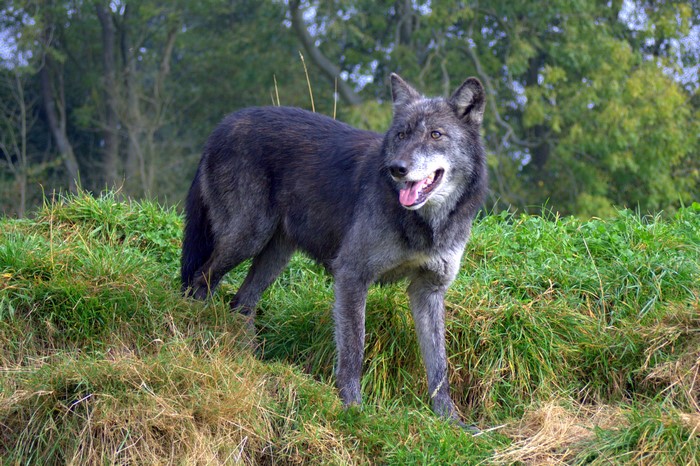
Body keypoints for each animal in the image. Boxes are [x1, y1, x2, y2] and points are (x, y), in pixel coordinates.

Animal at [181, 73, 488, 423]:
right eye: (401, 135)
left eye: (436, 134)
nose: (397, 168)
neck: (425, 224)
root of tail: (222, 125)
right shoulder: (352, 274)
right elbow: (354, 348)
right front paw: (352, 408)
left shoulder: (429, 290)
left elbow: (439, 365)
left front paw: (449, 420)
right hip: (248, 237)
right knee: (200, 279)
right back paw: (197, 335)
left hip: (275, 254)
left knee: (241, 302)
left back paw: (246, 359)